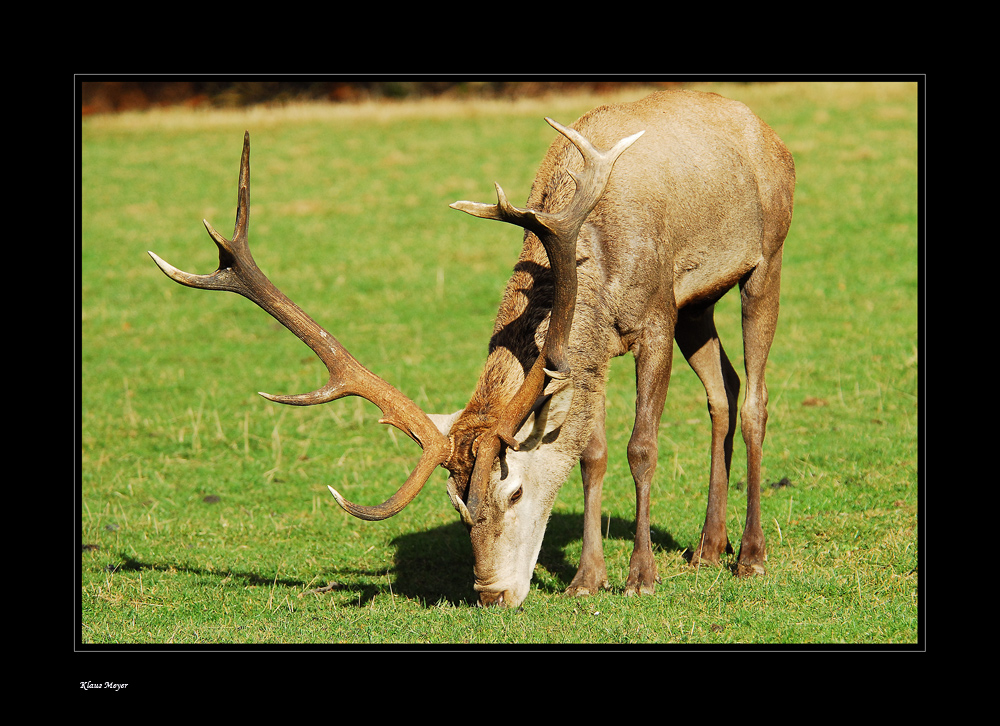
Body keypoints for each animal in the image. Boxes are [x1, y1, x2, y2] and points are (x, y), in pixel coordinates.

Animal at [148, 92, 792, 616]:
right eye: (456, 505)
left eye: (514, 491)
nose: (490, 594)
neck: (593, 264)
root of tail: (766, 130)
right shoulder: (597, 350)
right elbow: (591, 452)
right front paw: (588, 578)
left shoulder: (655, 316)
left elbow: (641, 447)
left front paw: (640, 578)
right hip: (699, 303)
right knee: (723, 389)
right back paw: (708, 547)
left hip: (766, 259)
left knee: (755, 399)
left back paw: (750, 556)